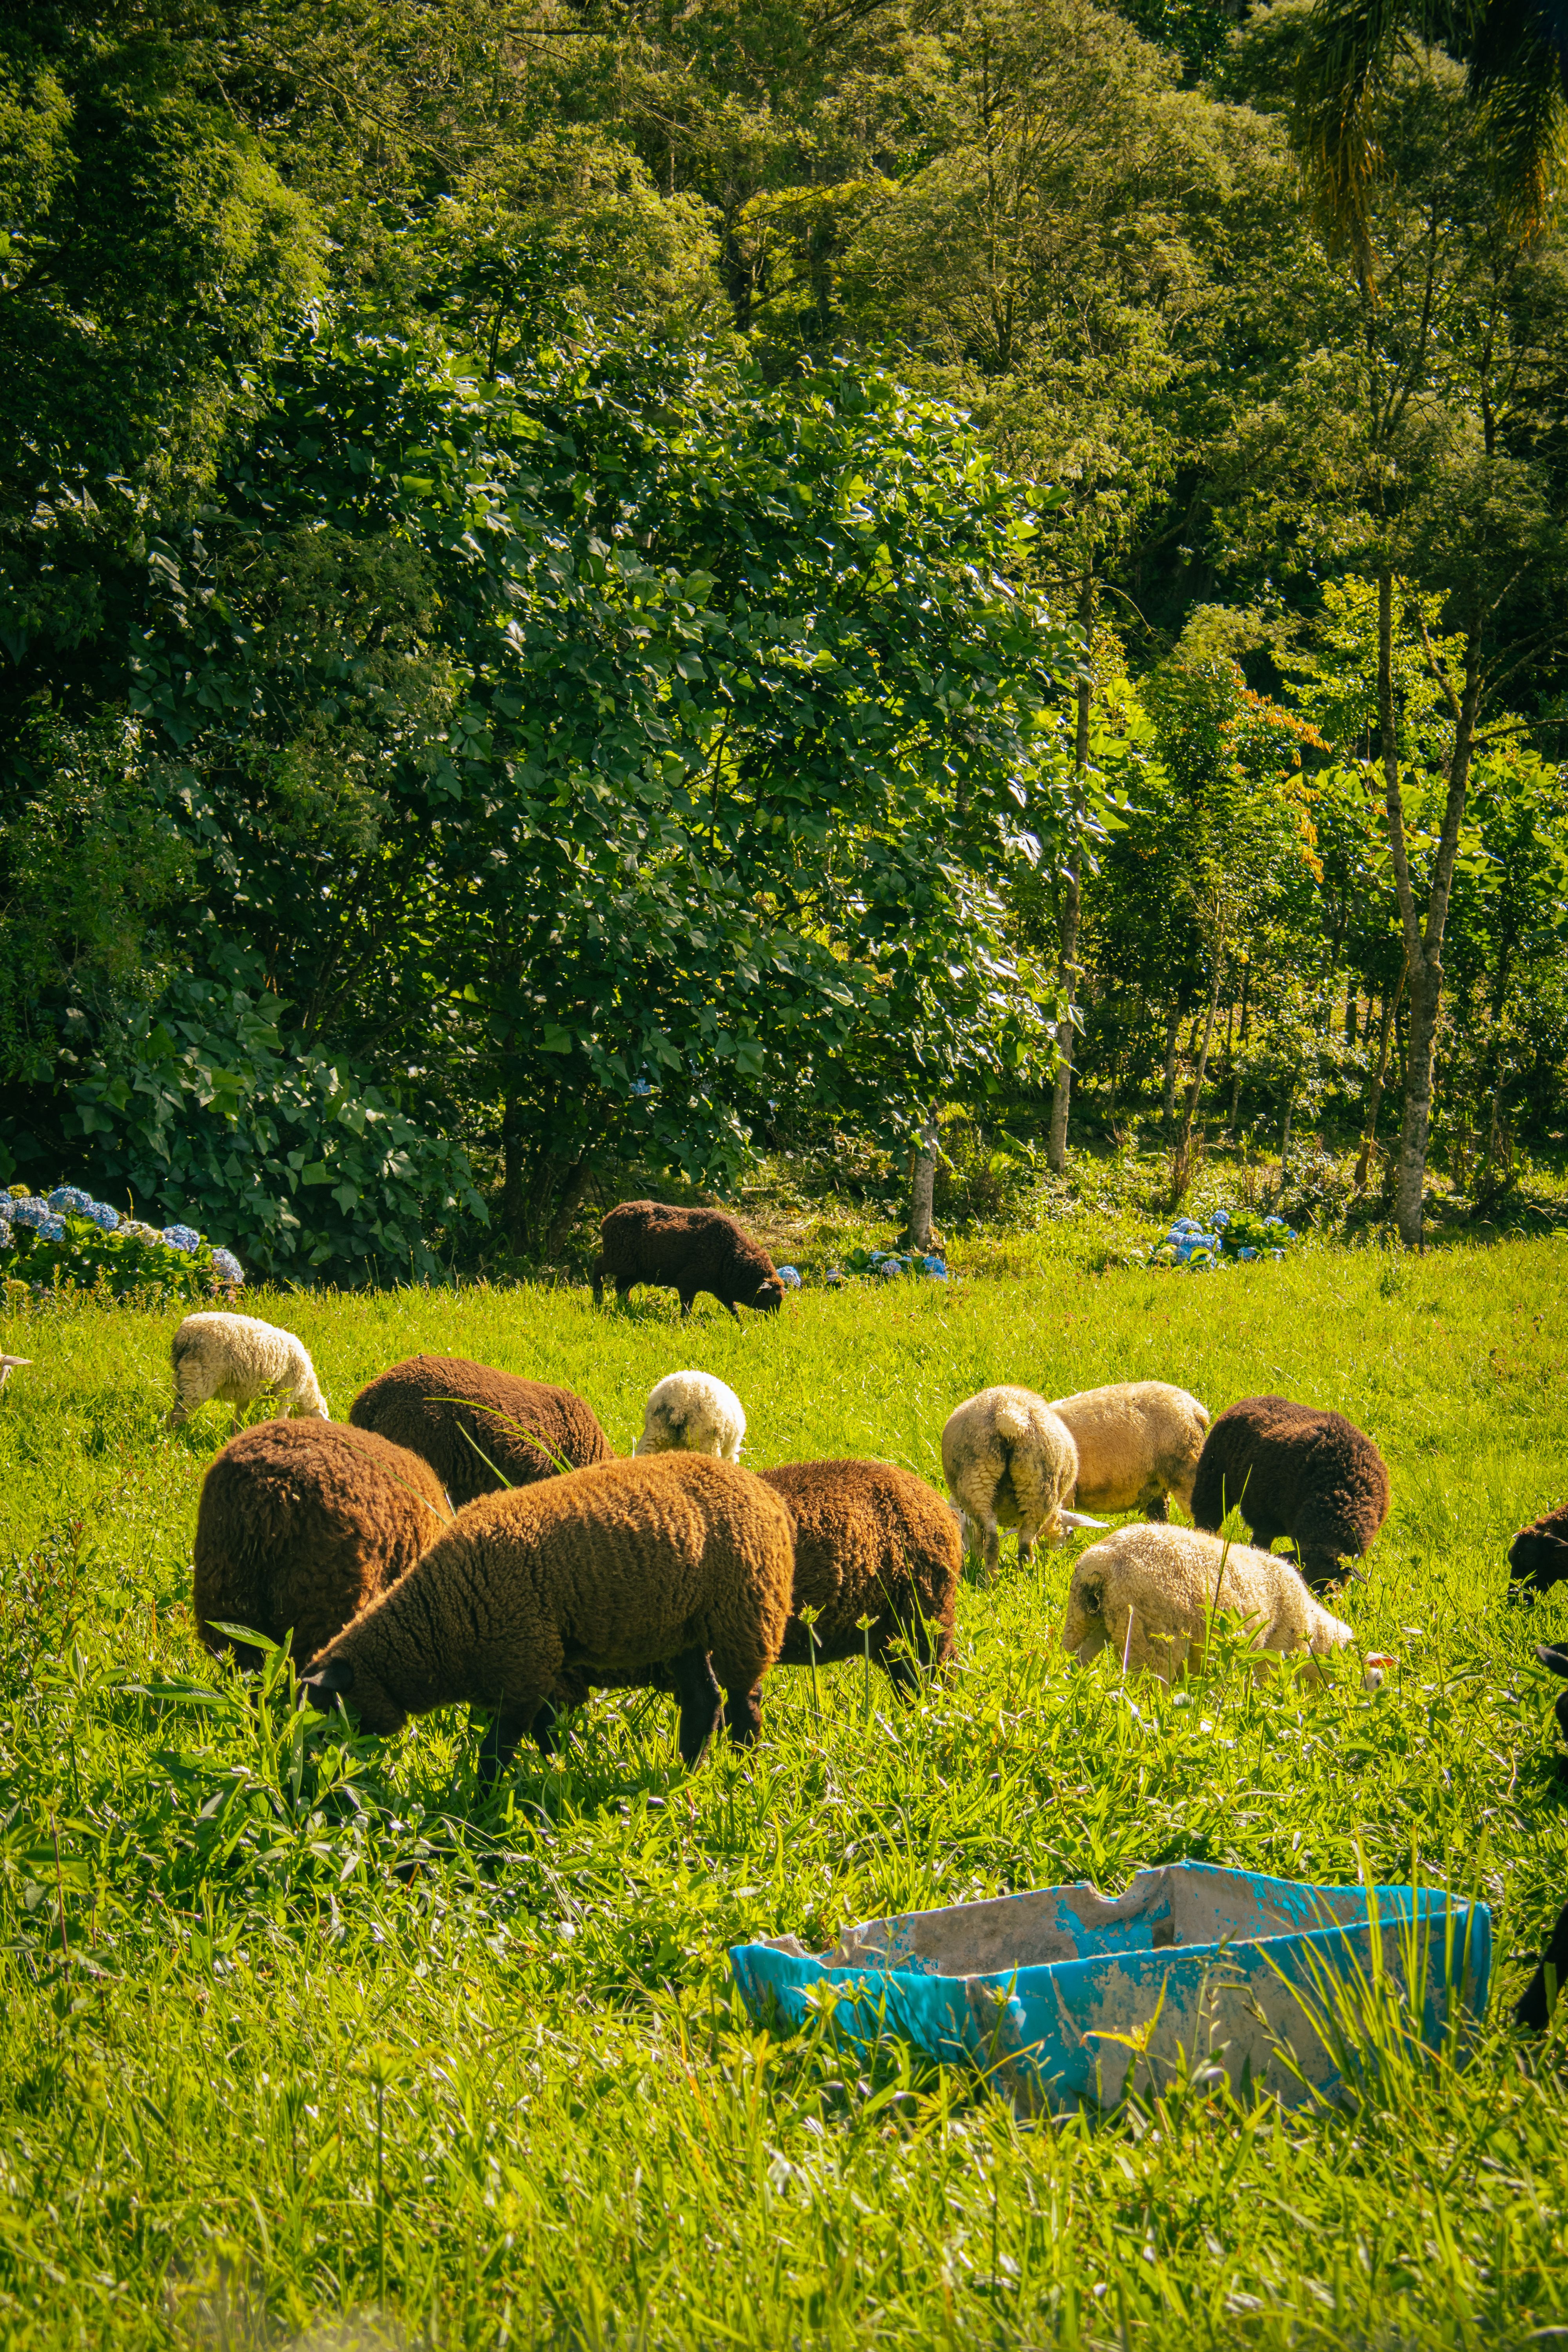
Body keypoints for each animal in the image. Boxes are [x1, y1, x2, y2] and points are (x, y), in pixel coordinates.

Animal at [168, 1311, 328, 1430]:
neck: (307, 1387)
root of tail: (186, 1332)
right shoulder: (285, 1393)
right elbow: (280, 1415)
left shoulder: (247, 1392)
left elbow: (240, 1412)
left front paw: (236, 1431)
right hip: (200, 1376)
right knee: (179, 1411)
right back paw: (175, 1436)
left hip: (183, 1375)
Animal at [299, 1452, 795, 1781]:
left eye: (326, 1715)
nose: (310, 1779)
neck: (440, 1617)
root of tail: (766, 1493)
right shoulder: (534, 1671)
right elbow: (545, 1732)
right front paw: (560, 1767)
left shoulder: (523, 1665)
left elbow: (495, 1751)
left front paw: (482, 1803)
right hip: (682, 1629)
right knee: (702, 1701)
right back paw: (685, 1771)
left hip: (746, 1614)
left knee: (744, 1703)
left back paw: (743, 1772)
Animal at [592, 1200, 784, 1321]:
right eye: (773, 1301)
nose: (772, 1323)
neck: (729, 1256)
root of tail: (608, 1217)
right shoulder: (687, 1282)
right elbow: (687, 1308)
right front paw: (685, 1324)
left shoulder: (720, 1288)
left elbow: (733, 1308)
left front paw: (740, 1325)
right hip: (619, 1258)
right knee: (597, 1266)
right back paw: (598, 1300)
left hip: (637, 1269)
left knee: (621, 1285)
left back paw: (627, 1306)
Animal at [940, 1386, 1101, 1575]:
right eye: (1069, 1532)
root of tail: (1010, 1412)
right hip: (1038, 1482)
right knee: (1024, 1544)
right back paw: (1023, 1576)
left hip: (978, 1477)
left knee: (993, 1538)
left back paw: (991, 1578)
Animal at [1060, 1521, 1360, 1684]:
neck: (1313, 1629)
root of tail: (1104, 1561)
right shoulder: (1269, 1662)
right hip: (1152, 1641)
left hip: (1083, 1621)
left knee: (1069, 1665)